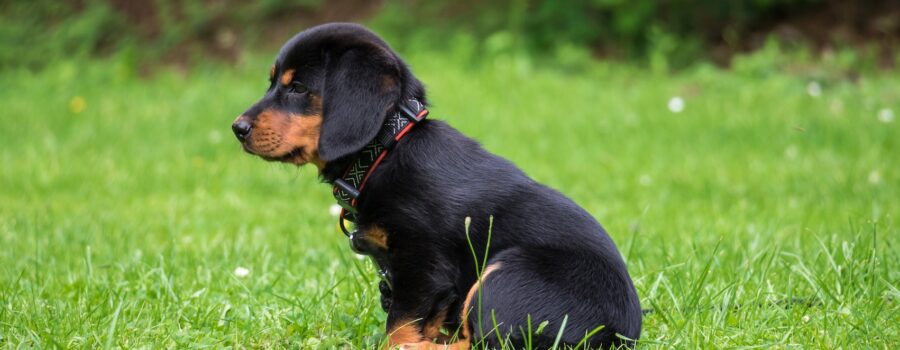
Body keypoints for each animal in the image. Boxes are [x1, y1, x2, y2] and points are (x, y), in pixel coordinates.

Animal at [232, 23, 640, 348]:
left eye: (298, 88)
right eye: (273, 82)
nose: (237, 128)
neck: (387, 148)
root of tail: (617, 336)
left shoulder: (422, 264)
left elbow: (399, 326)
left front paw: (399, 343)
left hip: (507, 274)